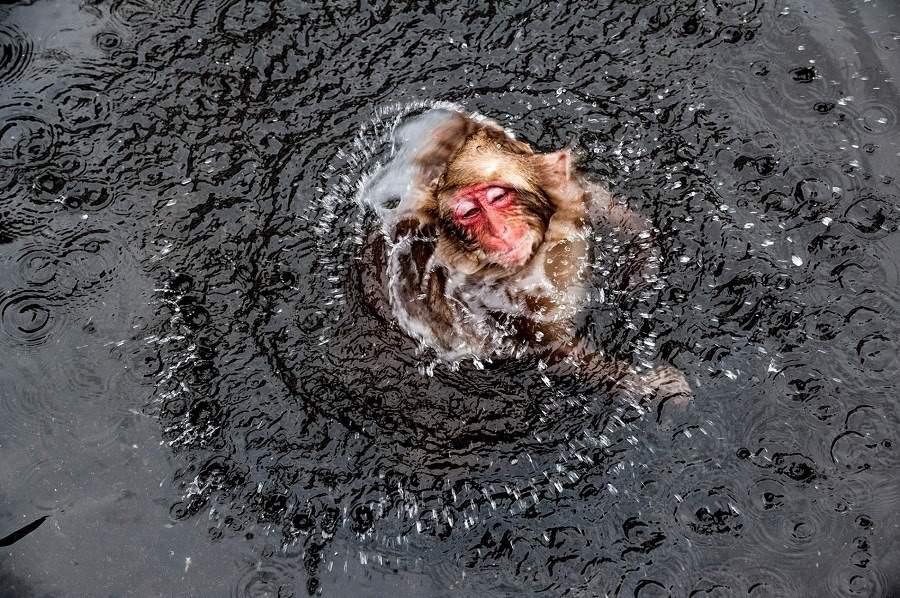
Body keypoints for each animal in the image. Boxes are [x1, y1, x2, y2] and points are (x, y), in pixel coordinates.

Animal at [360, 109, 690, 406]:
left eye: (497, 197)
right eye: (470, 212)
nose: (501, 230)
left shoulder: (573, 190)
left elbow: (630, 224)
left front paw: (638, 283)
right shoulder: (490, 297)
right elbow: (554, 350)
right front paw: (643, 384)